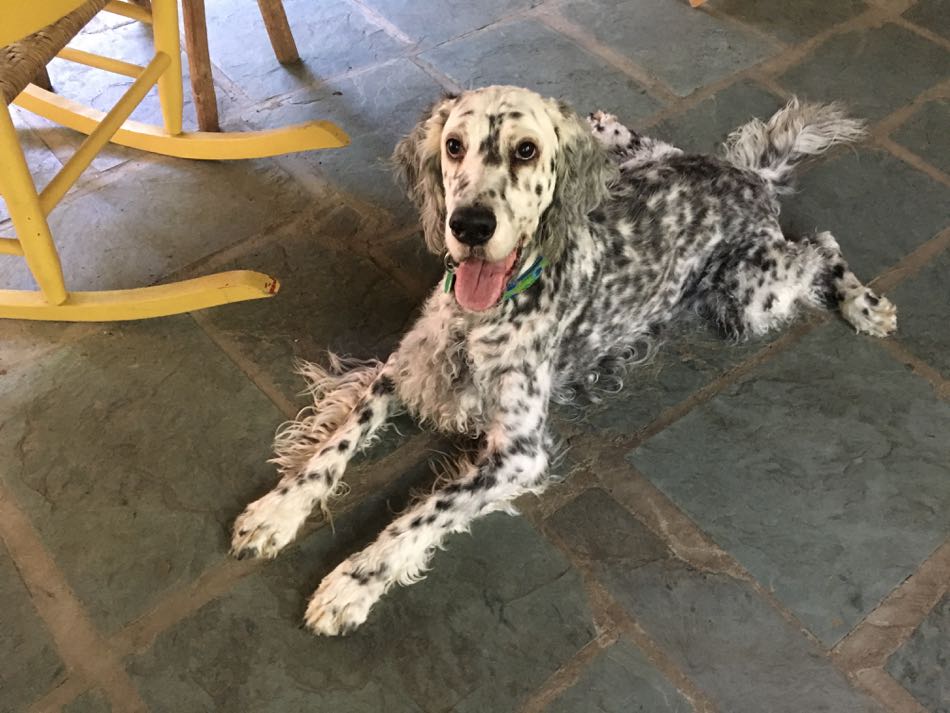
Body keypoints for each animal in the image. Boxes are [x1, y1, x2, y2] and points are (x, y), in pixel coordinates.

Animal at [231, 85, 900, 636]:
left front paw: (352, 582)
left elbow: (422, 513)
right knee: (663, 149)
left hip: (750, 294)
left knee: (821, 245)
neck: (485, 314)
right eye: (453, 146)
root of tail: (750, 179)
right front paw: (277, 509)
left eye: (526, 151)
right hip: (661, 184)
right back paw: (607, 127)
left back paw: (865, 304)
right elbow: (334, 445)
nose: (469, 225)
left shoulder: (520, 453)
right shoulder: (403, 372)